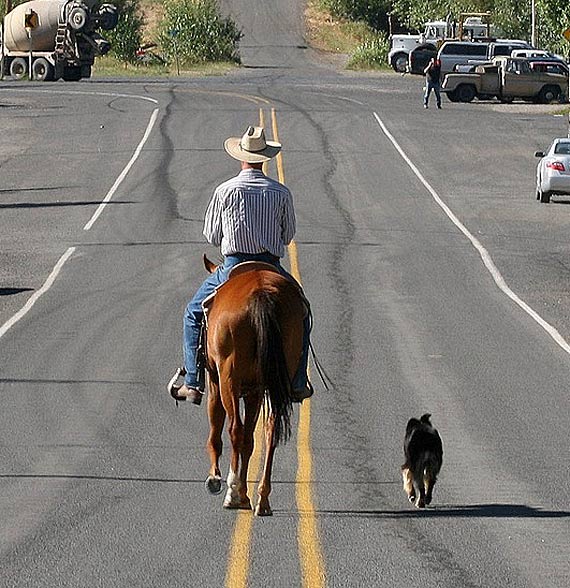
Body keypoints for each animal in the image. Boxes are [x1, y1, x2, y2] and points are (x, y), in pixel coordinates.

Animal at [201, 255, 306, 516]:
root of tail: (261, 293)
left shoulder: (215, 382)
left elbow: (218, 427)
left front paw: (217, 480)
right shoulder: (255, 392)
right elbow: (251, 440)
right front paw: (244, 493)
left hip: (228, 379)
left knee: (235, 430)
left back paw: (231, 493)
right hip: (274, 380)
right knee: (269, 430)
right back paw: (262, 499)